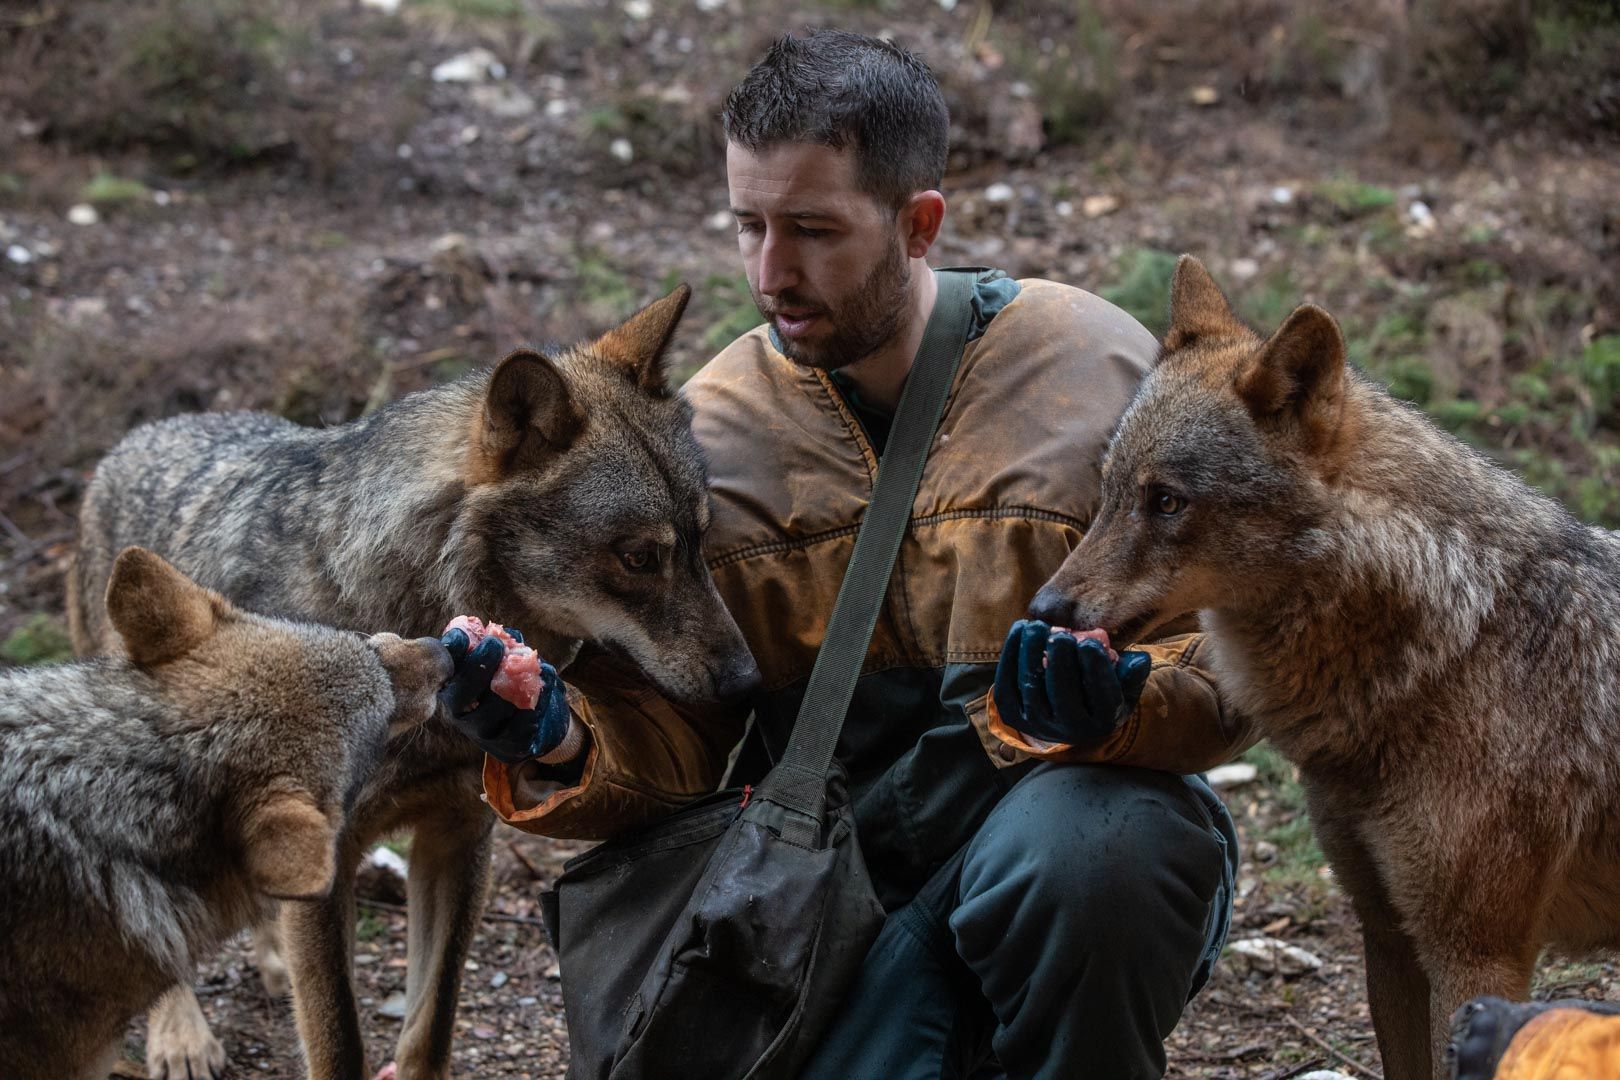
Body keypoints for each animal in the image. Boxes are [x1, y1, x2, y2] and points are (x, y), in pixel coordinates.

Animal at [69, 286, 758, 1080]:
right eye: (639, 558)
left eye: (702, 540)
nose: (748, 681)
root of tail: (132, 439)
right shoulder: (332, 872)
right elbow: (338, 1039)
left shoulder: (457, 840)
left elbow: (430, 1025)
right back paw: (180, 1035)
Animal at [1030, 255, 1620, 1080]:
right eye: (1111, 489)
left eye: (1167, 501)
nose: (1045, 607)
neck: (1456, 637)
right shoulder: (1387, 934)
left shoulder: (1476, 958)